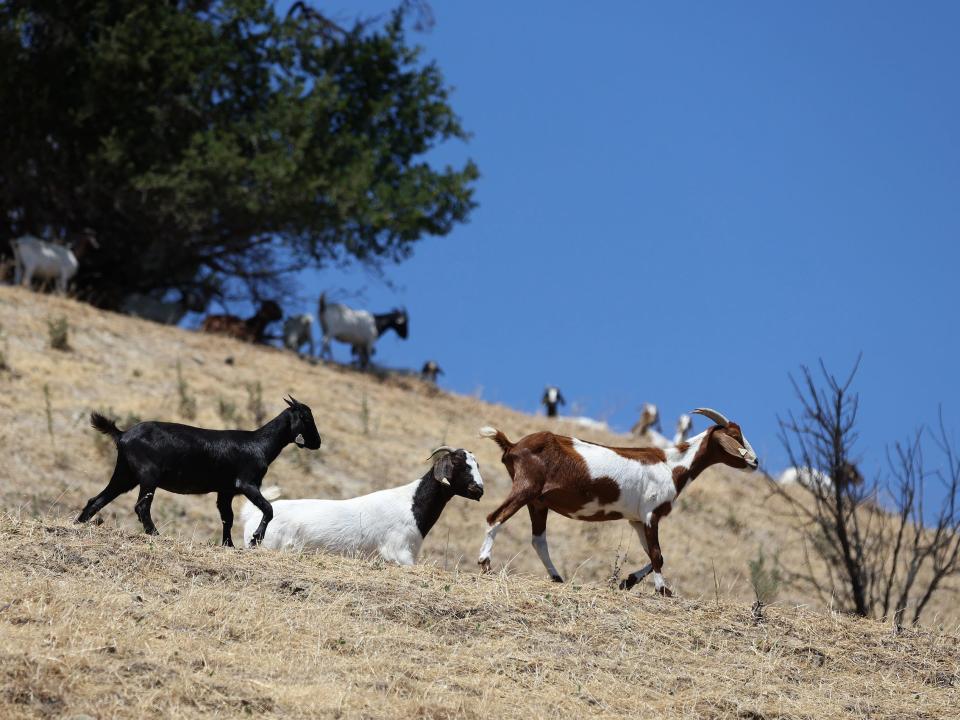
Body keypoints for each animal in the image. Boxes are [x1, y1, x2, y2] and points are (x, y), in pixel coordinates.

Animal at [76, 396, 322, 544]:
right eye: (307, 417)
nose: (318, 442)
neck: (259, 444)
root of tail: (122, 434)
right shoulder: (246, 483)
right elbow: (268, 508)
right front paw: (255, 539)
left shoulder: (225, 491)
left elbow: (227, 518)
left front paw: (228, 545)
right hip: (148, 474)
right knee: (141, 506)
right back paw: (156, 534)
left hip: (125, 474)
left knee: (97, 499)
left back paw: (78, 523)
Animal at [237, 444, 484, 564]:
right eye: (458, 463)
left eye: (476, 464)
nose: (478, 489)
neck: (410, 503)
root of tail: (252, 515)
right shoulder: (400, 553)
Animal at [478, 408, 756, 592]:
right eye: (735, 436)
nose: (755, 462)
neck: (672, 466)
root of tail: (512, 445)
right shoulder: (651, 514)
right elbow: (657, 555)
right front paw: (662, 590)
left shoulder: (637, 520)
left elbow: (655, 555)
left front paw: (627, 581)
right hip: (526, 487)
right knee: (495, 517)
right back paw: (485, 564)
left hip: (538, 501)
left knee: (538, 540)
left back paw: (556, 577)